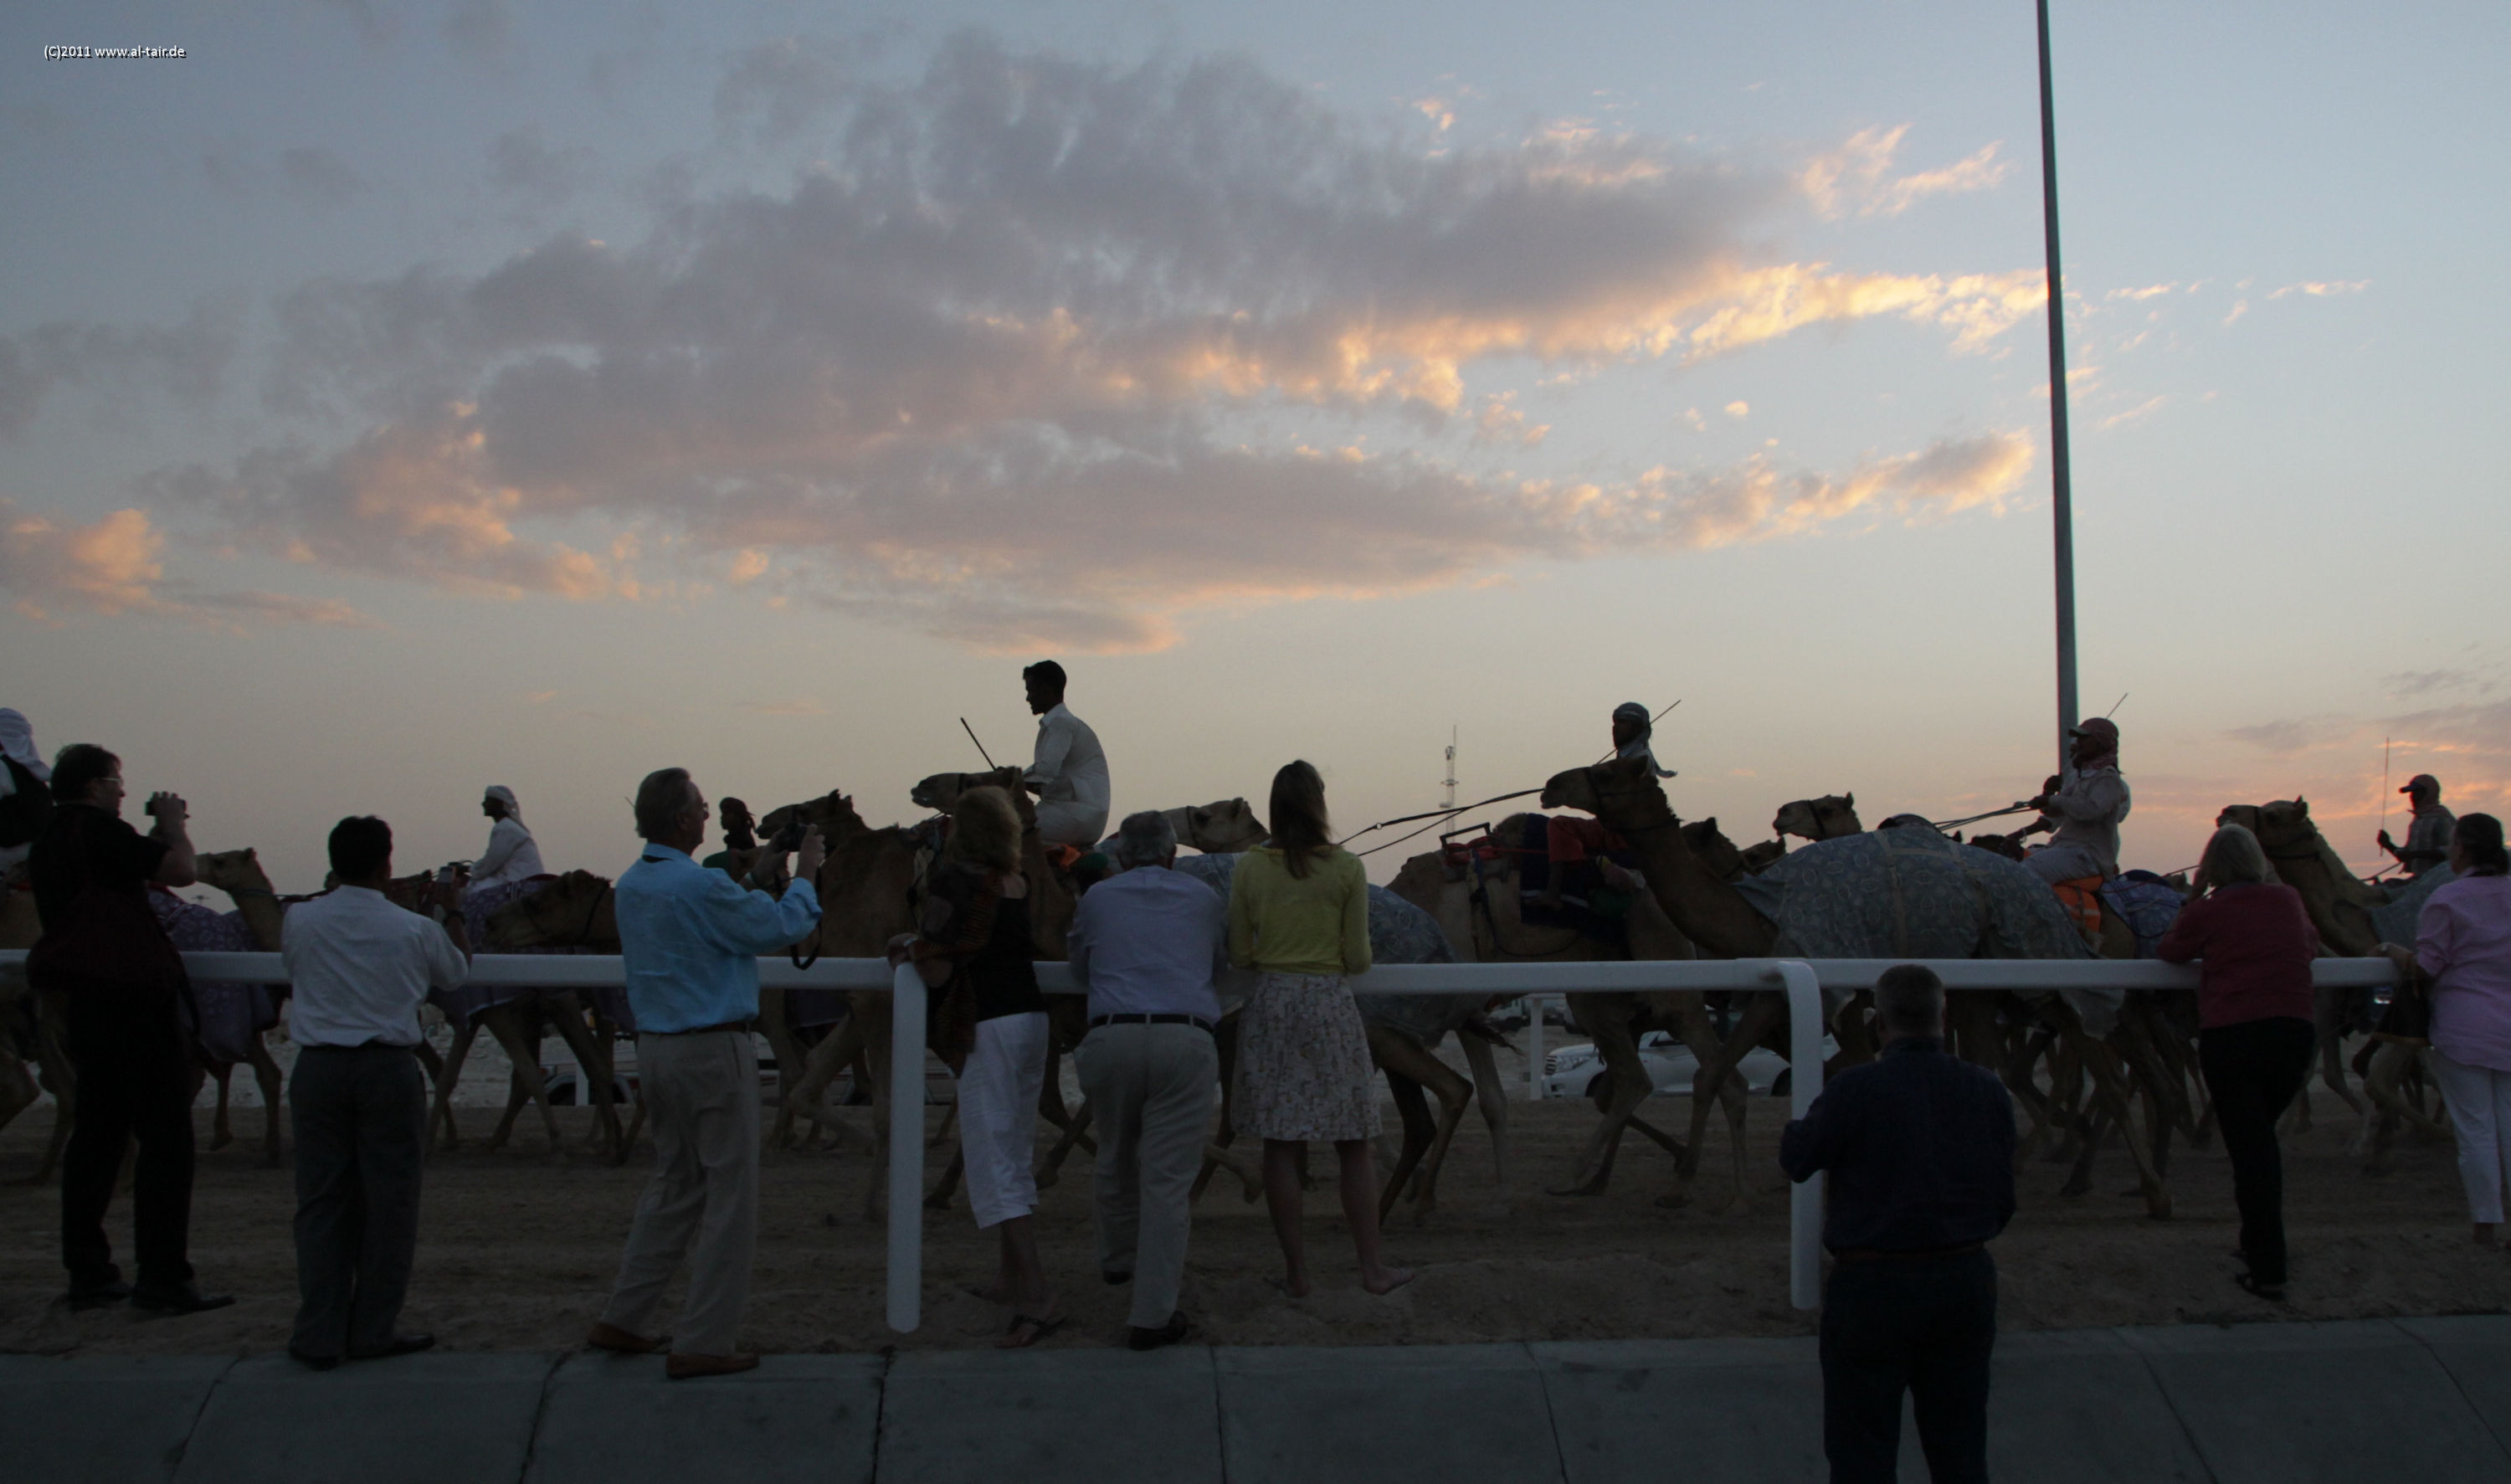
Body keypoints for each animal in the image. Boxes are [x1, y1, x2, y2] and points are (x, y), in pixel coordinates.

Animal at [1543, 755, 2177, 1220]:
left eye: (1607, 772)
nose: (1551, 784)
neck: (1760, 913)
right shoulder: (1804, 993)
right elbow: (1717, 1073)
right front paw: (1687, 1185)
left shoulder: (1818, 983)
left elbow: (1802, 1069)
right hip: (1983, 983)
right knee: (2039, 1064)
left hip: (2038, 970)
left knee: (2102, 1063)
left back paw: (2144, 1187)